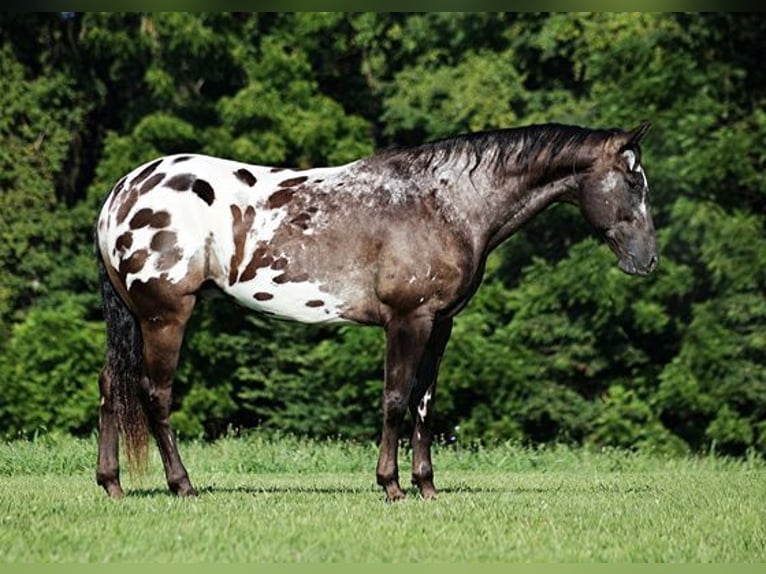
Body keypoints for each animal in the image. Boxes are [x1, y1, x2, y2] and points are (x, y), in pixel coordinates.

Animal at [96, 120, 660, 500]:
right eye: (634, 182)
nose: (647, 260)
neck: (445, 203)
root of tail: (121, 195)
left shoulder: (440, 324)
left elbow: (423, 403)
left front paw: (426, 486)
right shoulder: (408, 320)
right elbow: (394, 398)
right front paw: (391, 485)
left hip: (136, 320)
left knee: (110, 386)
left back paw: (111, 484)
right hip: (166, 317)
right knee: (154, 394)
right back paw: (182, 485)